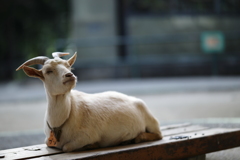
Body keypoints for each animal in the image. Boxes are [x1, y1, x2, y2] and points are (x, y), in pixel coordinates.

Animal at [16, 52, 163, 152]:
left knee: (158, 134)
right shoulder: (47, 140)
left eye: (69, 66)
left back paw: (134, 138)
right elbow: (48, 143)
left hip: (151, 120)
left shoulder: (87, 136)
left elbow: (67, 147)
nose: (69, 75)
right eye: (48, 71)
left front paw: (93, 145)